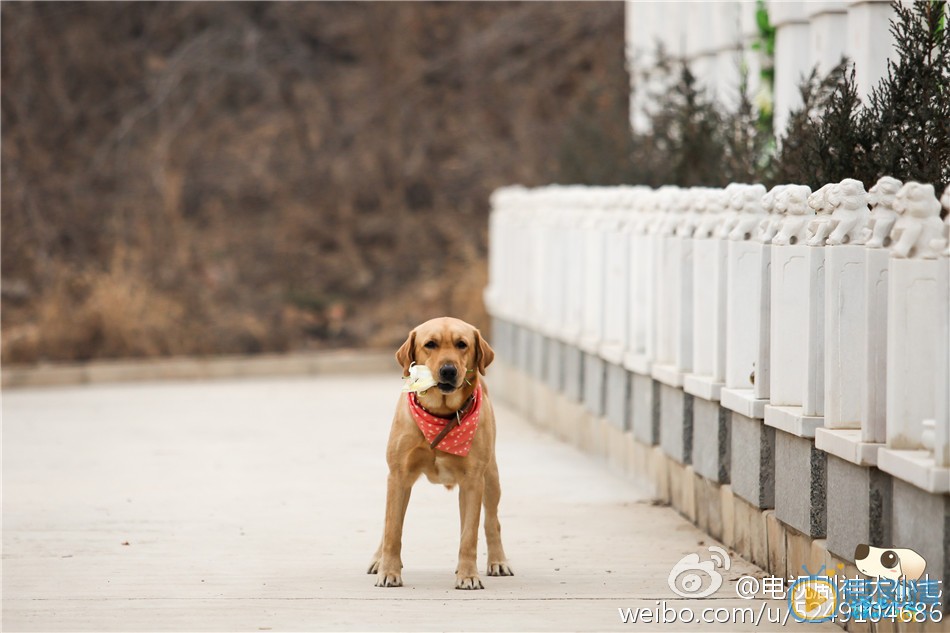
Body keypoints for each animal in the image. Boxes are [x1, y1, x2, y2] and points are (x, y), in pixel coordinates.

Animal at [368, 318, 512, 592]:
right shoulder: (398, 476)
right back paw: (378, 559)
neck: (441, 415)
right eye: (430, 344)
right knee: (388, 522)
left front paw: (468, 575)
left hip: (491, 477)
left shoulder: (472, 481)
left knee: (491, 521)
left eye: (462, 344)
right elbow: (393, 530)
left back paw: (497, 561)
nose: (448, 370)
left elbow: (469, 535)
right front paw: (389, 570)